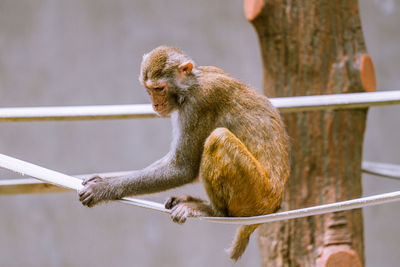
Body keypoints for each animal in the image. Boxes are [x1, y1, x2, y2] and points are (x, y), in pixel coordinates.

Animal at [79, 46, 290, 262]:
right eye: (149, 89)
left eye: (159, 89)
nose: (155, 104)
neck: (191, 84)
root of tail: (274, 203)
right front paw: (103, 180)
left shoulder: (199, 104)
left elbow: (183, 168)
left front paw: (103, 188)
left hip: (256, 195)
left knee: (218, 138)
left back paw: (213, 211)